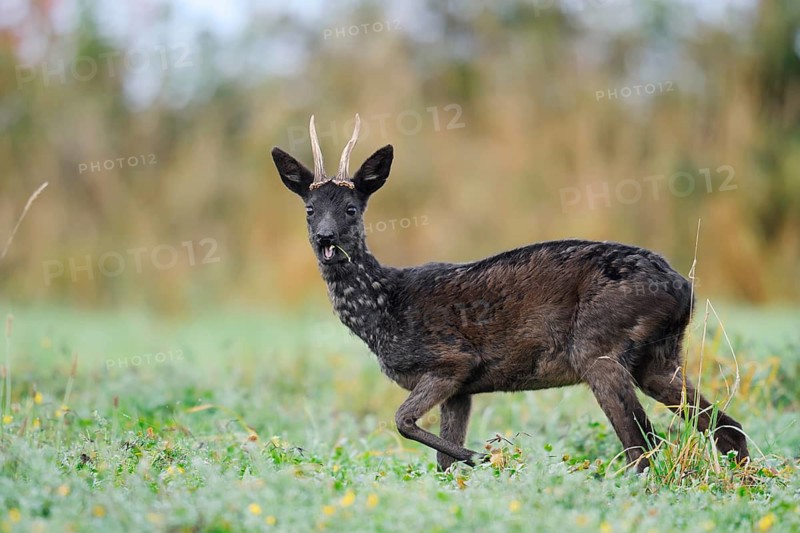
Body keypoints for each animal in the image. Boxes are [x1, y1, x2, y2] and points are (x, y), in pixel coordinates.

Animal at [271, 114, 749, 472]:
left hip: (598, 347)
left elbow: (402, 421)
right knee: (727, 428)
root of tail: (684, 287)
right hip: (659, 359)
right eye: (310, 209)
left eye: (351, 209)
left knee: (644, 446)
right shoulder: (462, 389)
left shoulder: (450, 361)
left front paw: (492, 456)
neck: (385, 311)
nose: (326, 238)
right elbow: (441, 460)